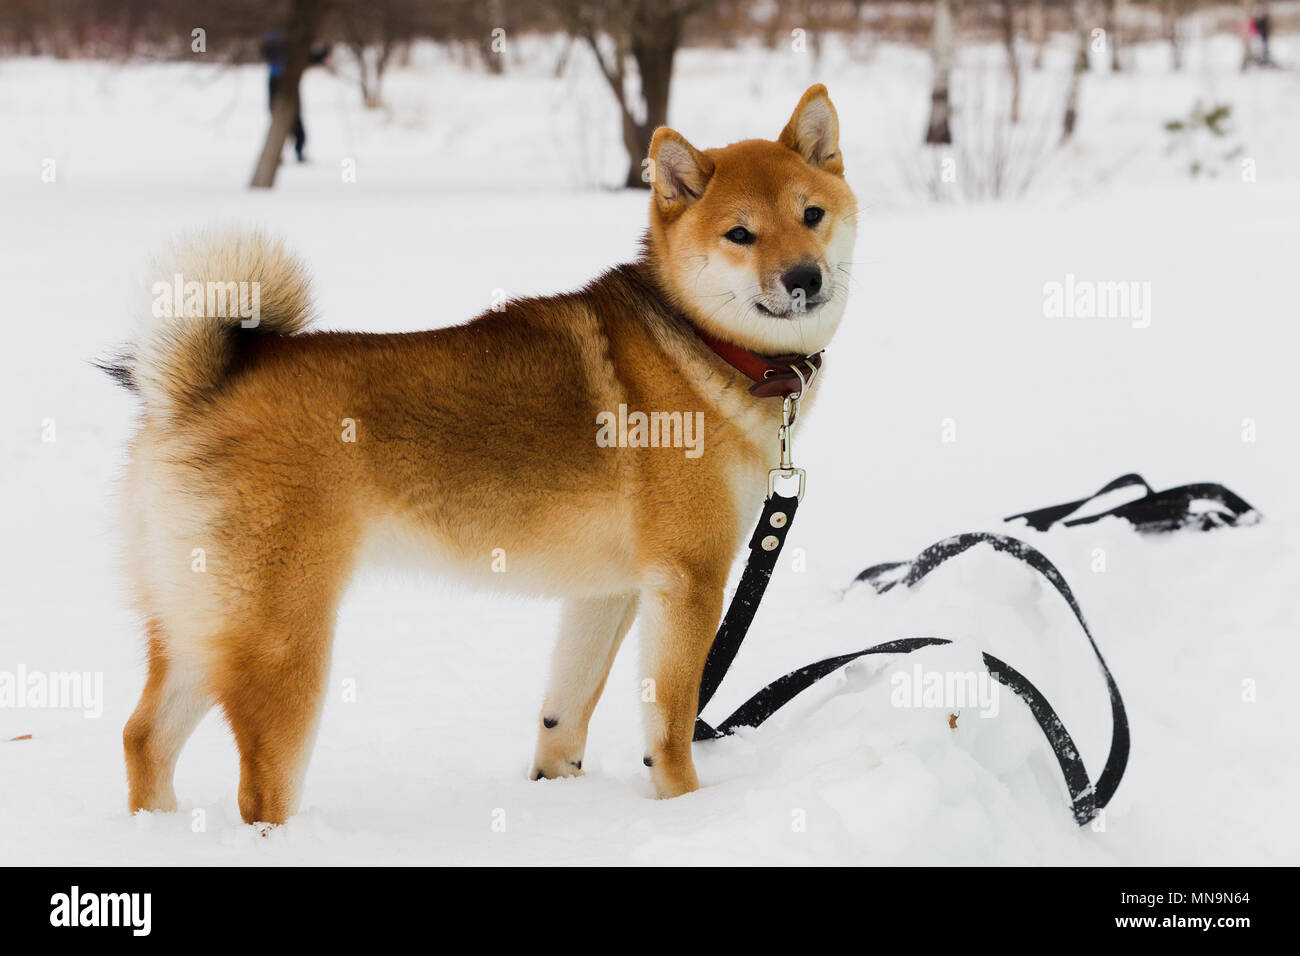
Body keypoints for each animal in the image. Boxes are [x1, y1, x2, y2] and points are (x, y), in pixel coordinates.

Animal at [106, 85, 857, 827]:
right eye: (740, 234)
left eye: (811, 215)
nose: (803, 277)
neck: (702, 344)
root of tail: (197, 390)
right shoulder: (689, 581)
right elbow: (670, 725)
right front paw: (686, 811)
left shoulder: (607, 591)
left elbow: (565, 712)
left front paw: (555, 794)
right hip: (281, 642)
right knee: (259, 791)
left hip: (202, 624)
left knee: (144, 736)